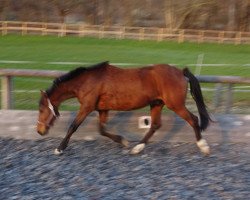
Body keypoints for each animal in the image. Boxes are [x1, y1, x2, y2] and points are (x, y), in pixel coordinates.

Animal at [37, 61, 211, 155]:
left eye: (41, 110)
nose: (39, 131)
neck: (86, 81)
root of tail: (181, 72)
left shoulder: (87, 107)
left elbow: (73, 127)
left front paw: (59, 149)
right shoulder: (102, 109)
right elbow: (102, 130)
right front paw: (123, 141)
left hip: (175, 104)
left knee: (193, 119)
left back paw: (203, 146)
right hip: (156, 103)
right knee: (155, 125)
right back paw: (137, 148)